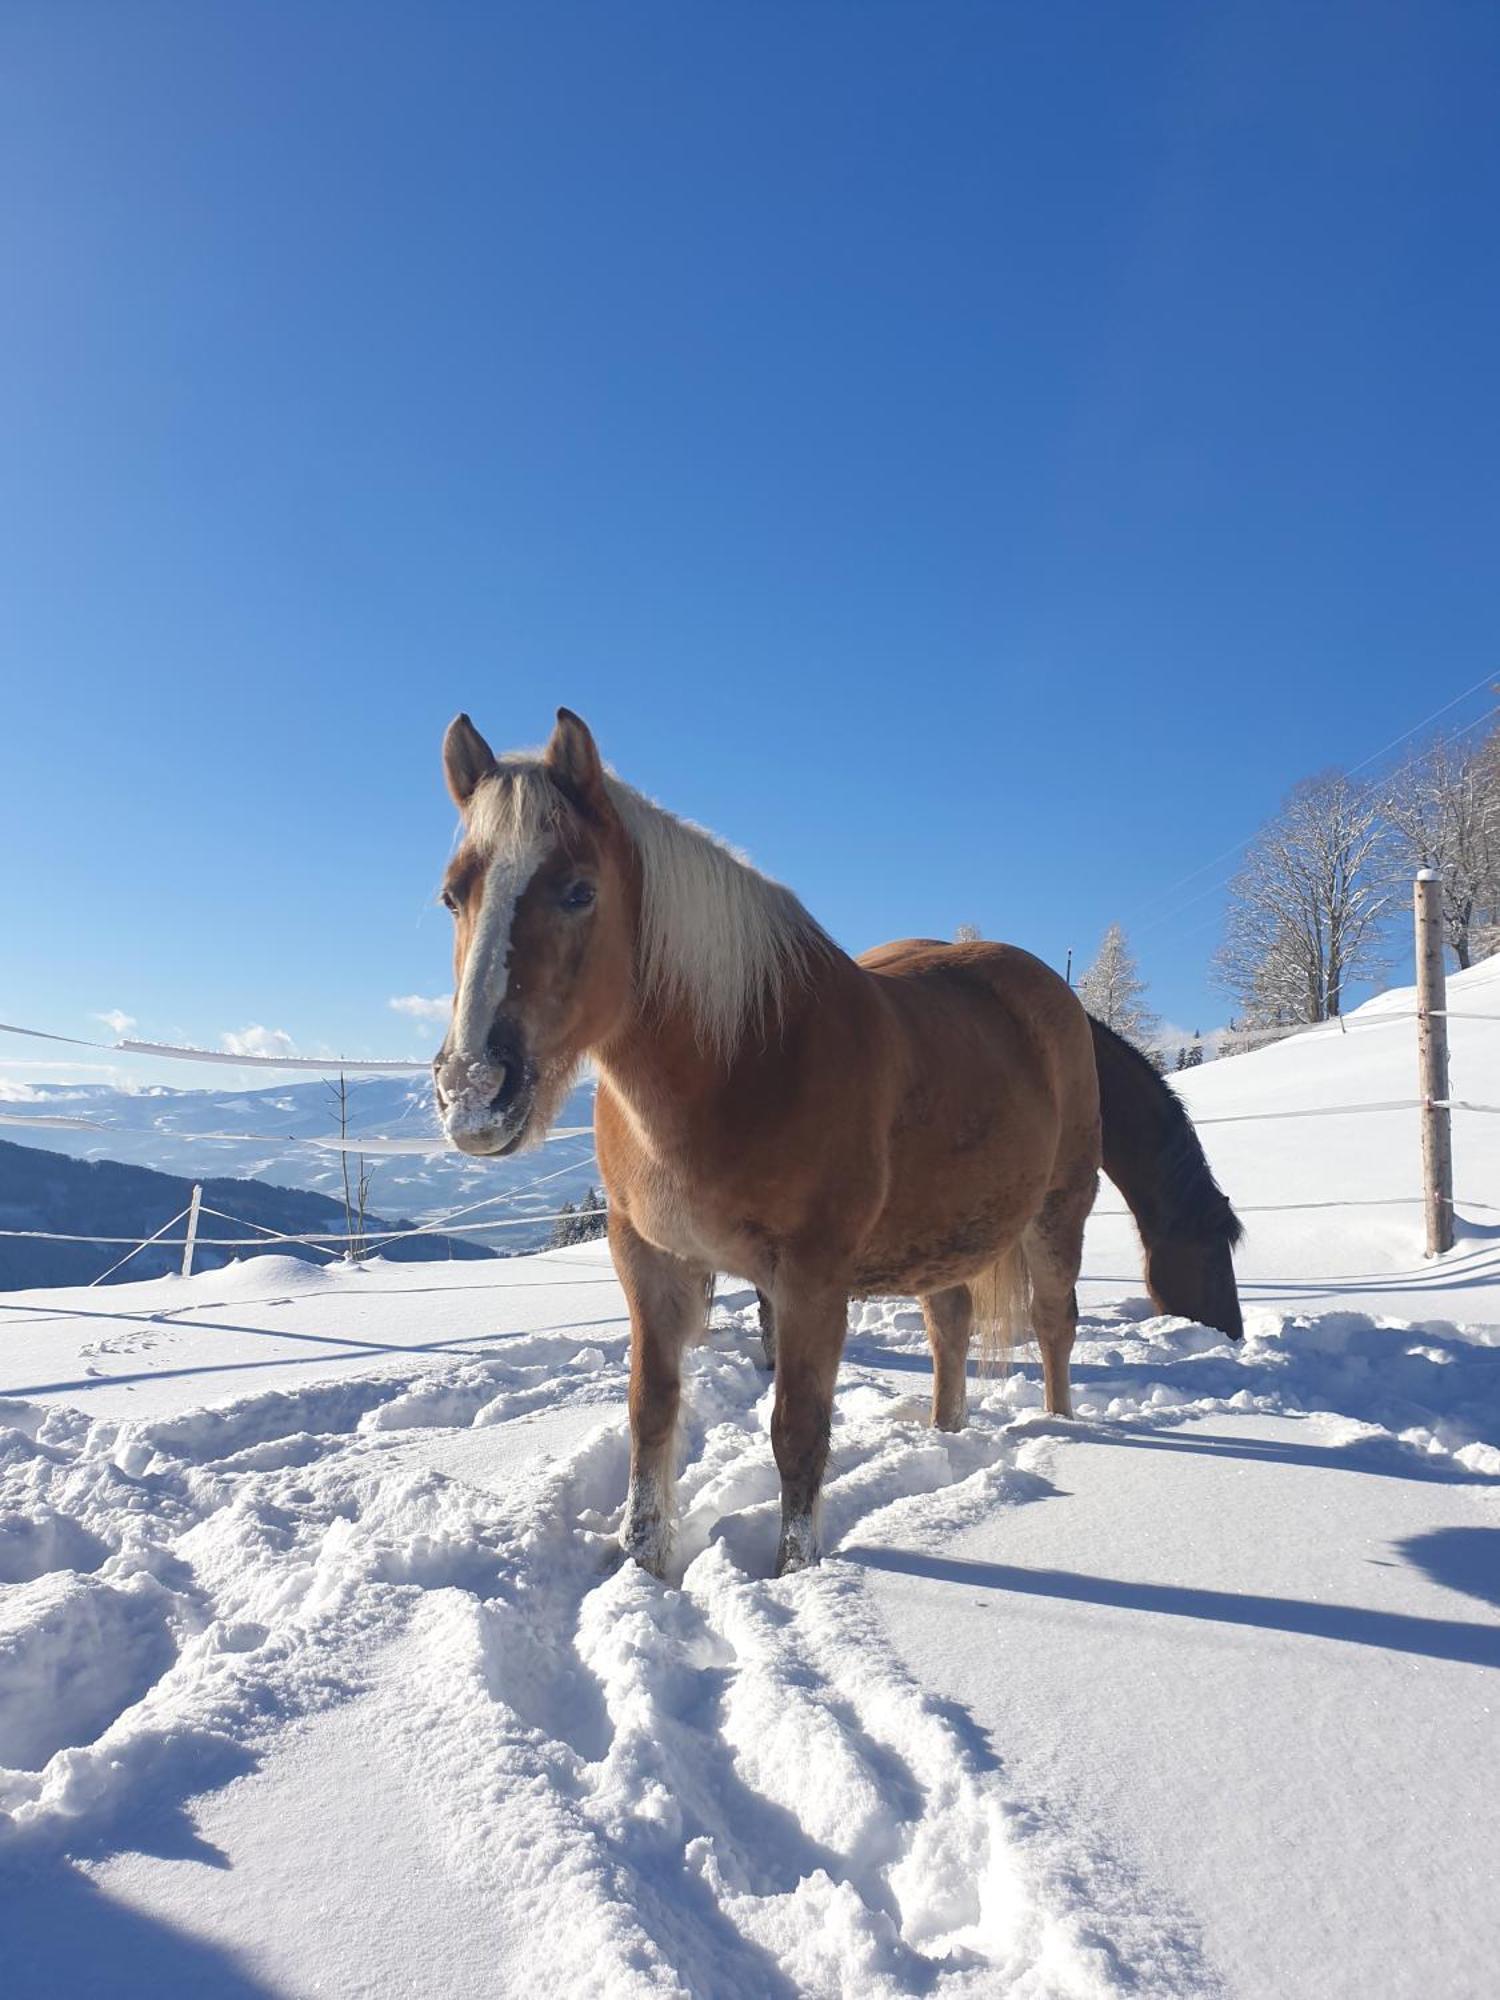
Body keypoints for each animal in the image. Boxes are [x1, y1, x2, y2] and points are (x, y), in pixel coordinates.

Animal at [426, 708, 1248, 1576]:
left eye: (579, 891)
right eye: (452, 896)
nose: (474, 1091)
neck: (744, 1059)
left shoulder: (810, 1280)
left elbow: (798, 1430)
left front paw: (795, 1572)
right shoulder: (649, 1261)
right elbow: (651, 1416)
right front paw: (640, 1566)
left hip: (1058, 1214)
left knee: (1056, 1325)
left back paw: (1058, 1430)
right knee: (950, 1328)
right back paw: (944, 1432)